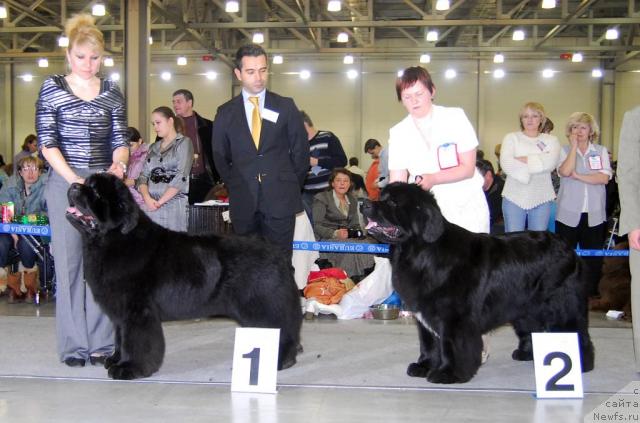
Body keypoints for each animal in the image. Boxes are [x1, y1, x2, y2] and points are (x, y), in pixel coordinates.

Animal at [66, 172, 302, 380]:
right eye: (85, 182)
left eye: (96, 192)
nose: (74, 185)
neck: (114, 239)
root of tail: (277, 252)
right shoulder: (120, 312)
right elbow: (120, 338)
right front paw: (115, 360)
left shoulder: (137, 311)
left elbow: (134, 341)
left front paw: (129, 368)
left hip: (263, 303)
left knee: (280, 328)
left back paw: (280, 360)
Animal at [362, 182, 592, 384]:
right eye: (381, 196)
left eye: (393, 203)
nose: (364, 203)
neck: (421, 253)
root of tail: (568, 247)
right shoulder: (424, 314)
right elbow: (428, 343)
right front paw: (424, 366)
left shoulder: (455, 317)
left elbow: (451, 344)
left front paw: (448, 373)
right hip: (525, 308)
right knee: (530, 328)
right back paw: (526, 353)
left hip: (562, 306)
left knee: (575, 331)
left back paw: (581, 363)